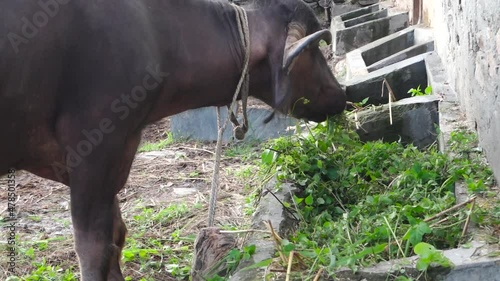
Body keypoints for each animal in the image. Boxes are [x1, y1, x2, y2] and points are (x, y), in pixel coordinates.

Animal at [0, 0, 346, 278]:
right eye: (315, 52)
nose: (341, 96)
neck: (158, 38)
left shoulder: (118, 153)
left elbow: (117, 234)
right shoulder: (93, 152)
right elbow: (94, 249)